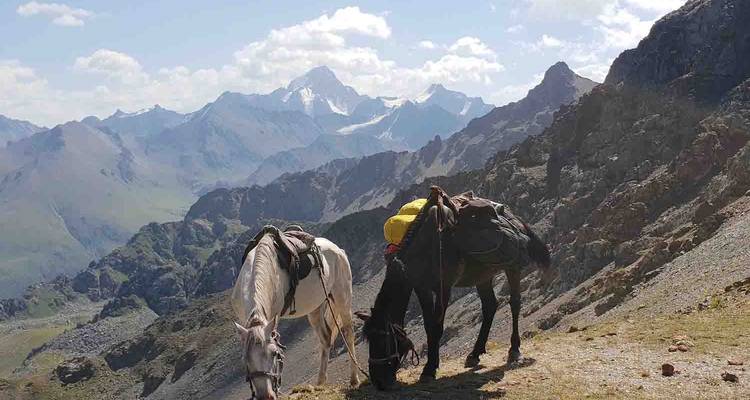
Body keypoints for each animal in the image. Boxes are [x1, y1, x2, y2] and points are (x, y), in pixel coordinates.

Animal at [231, 233, 361, 400]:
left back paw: (354, 379)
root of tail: (337, 249)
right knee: (326, 337)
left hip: (342, 297)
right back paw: (320, 382)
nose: (266, 396)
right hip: (315, 307)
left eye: (274, 353)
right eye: (244, 359)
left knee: (348, 333)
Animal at [355, 189, 552, 390]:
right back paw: (474, 354)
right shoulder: (422, 288)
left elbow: (437, 326)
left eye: (383, 339)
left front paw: (429, 370)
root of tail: (514, 218)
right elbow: (428, 326)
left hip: (512, 267)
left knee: (515, 303)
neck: (424, 247)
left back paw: (514, 350)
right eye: (369, 339)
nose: (378, 381)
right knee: (490, 306)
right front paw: (431, 365)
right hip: (483, 276)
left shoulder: (444, 287)